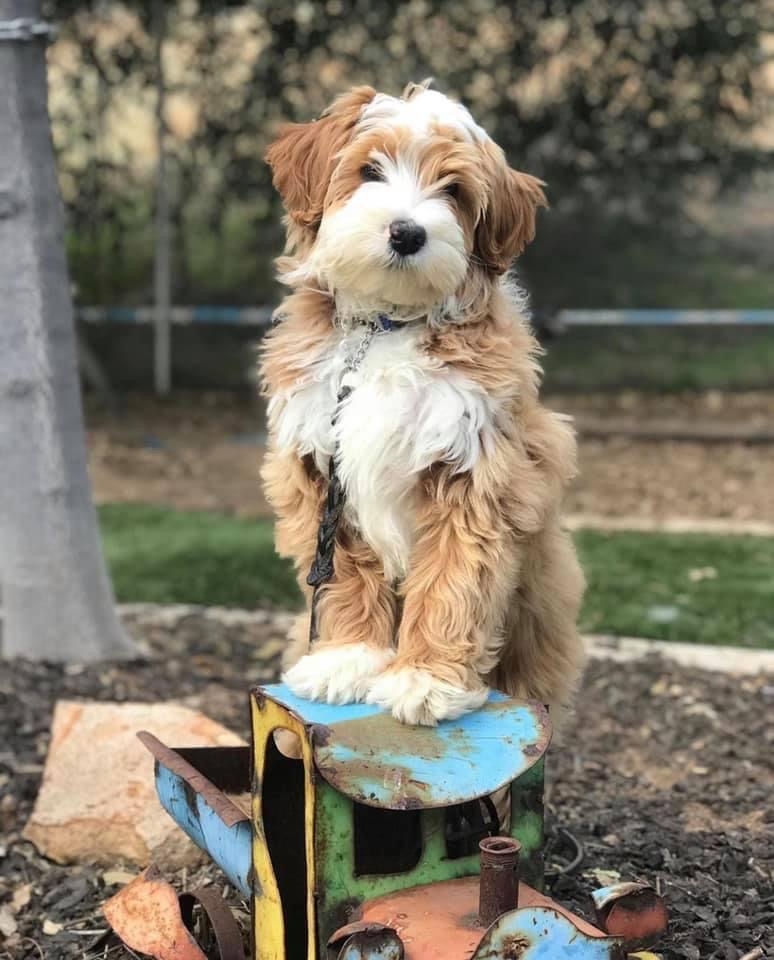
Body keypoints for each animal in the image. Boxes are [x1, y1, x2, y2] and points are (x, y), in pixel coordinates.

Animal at [262, 82, 588, 728]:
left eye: (454, 190)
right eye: (369, 171)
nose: (407, 233)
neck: (386, 326)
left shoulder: (475, 471)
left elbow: (454, 577)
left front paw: (426, 679)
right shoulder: (322, 470)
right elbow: (342, 573)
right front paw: (348, 658)